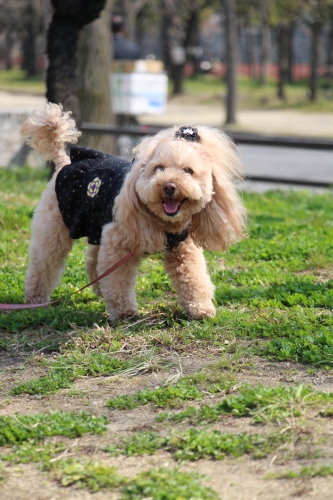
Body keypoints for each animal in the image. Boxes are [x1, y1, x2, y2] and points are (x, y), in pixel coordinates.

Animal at [20, 103, 244, 322]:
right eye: (158, 168)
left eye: (188, 171)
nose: (169, 186)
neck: (163, 223)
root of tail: (64, 162)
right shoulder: (119, 243)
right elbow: (118, 281)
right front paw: (124, 313)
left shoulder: (183, 248)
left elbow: (194, 277)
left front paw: (201, 309)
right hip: (53, 228)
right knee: (44, 263)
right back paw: (35, 299)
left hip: (97, 227)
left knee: (93, 260)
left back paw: (97, 288)